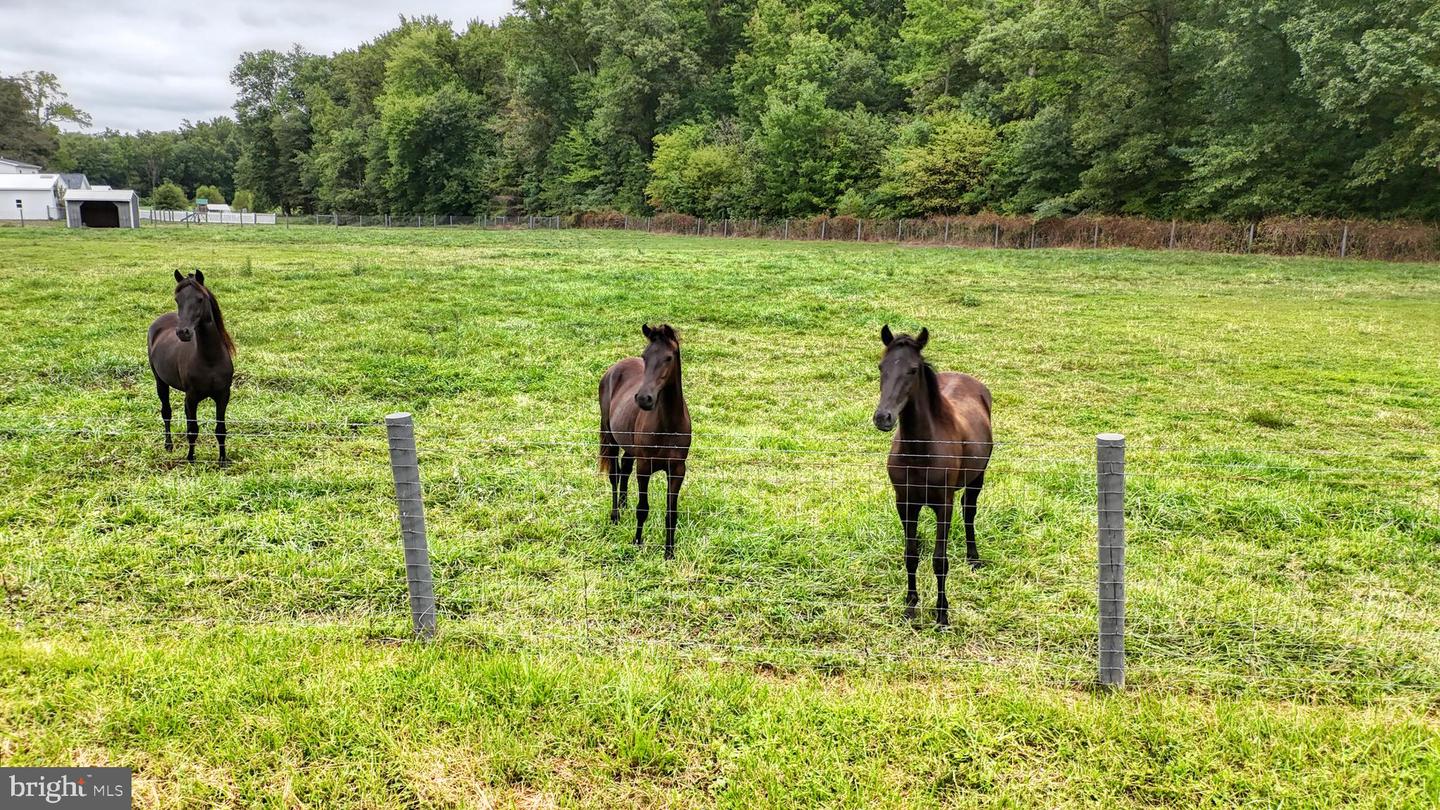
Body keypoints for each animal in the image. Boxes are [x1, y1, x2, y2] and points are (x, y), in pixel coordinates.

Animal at [147, 268, 234, 464]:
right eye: (177, 299)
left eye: (200, 299)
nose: (183, 332)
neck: (210, 359)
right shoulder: (192, 397)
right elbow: (193, 430)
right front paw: (191, 458)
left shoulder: (223, 396)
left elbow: (220, 430)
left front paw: (222, 460)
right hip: (160, 382)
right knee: (166, 412)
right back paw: (168, 445)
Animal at [599, 321, 694, 553]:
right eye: (645, 356)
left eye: (668, 357)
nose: (644, 399)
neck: (668, 426)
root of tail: (614, 369)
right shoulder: (644, 467)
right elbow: (642, 508)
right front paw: (637, 542)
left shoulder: (677, 470)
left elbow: (671, 514)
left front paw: (669, 552)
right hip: (610, 438)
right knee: (615, 475)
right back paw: (615, 515)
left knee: (624, 469)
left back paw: (623, 505)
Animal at [869, 324, 996, 628]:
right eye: (881, 367)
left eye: (913, 370)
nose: (883, 418)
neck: (920, 450)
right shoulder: (905, 503)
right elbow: (911, 554)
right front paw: (910, 605)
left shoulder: (943, 506)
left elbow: (940, 560)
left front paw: (942, 614)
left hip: (977, 478)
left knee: (969, 512)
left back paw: (973, 558)